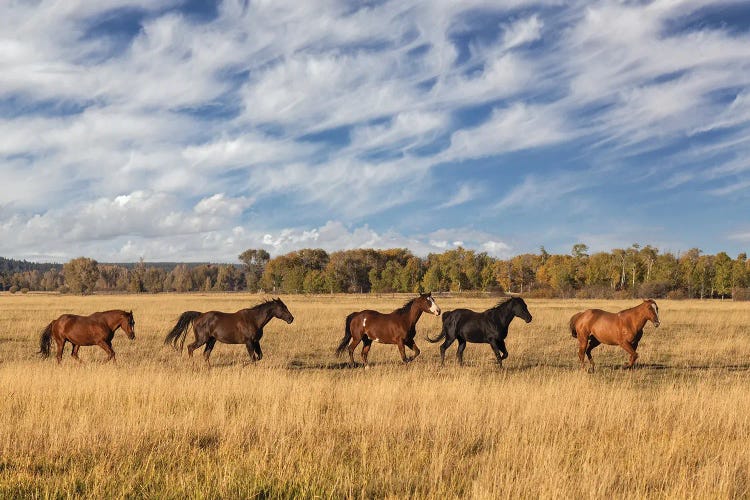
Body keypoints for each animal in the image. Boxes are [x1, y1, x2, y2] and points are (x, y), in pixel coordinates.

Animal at [166, 296, 296, 364]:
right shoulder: (249, 342)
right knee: (190, 348)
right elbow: (253, 358)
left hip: (211, 340)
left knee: (206, 354)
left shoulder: (256, 342)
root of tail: (200, 315)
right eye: (282, 308)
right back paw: (192, 364)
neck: (254, 319)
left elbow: (259, 357)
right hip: (202, 339)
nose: (291, 318)